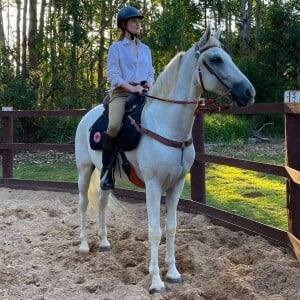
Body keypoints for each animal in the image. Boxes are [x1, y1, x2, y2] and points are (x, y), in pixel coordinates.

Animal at [75, 27, 255, 294]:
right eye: (216, 59)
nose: (249, 93)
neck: (167, 125)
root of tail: (87, 115)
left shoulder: (176, 185)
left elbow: (171, 227)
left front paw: (172, 273)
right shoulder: (153, 186)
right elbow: (154, 230)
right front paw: (156, 282)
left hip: (106, 175)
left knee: (103, 203)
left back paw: (105, 242)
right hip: (84, 170)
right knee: (84, 204)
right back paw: (84, 245)